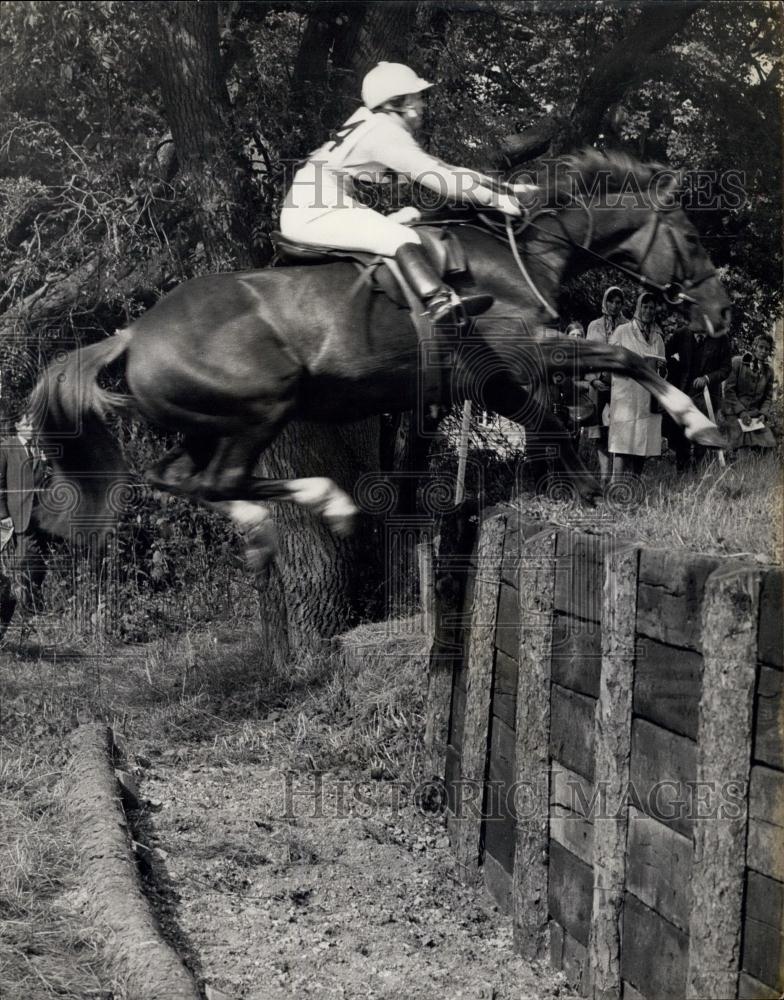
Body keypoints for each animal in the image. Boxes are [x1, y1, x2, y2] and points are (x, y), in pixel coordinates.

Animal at [30, 151, 728, 568]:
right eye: (693, 238)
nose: (720, 315)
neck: (525, 254)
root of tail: (132, 335)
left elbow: (601, 376)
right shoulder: (510, 365)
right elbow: (610, 369)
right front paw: (687, 430)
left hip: (206, 425)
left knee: (174, 477)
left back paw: (307, 509)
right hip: (262, 407)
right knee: (216, 482)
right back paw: (304, 511)